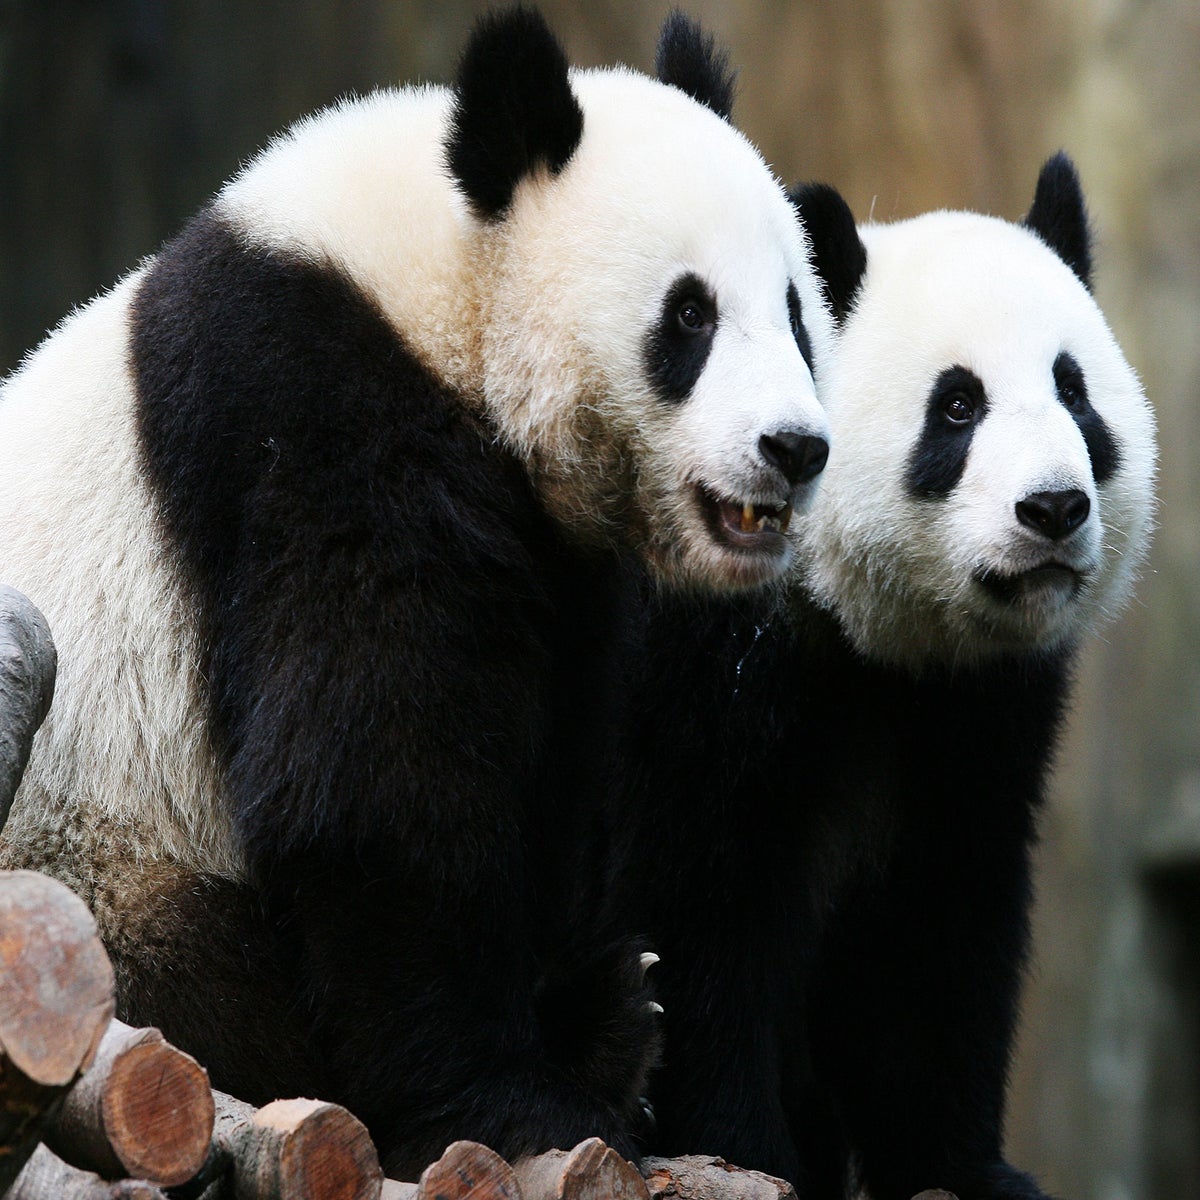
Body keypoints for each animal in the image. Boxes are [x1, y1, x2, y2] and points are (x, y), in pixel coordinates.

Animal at [0, 8, 841, 1175]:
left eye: (799, 314)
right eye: (690, 317)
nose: (794, 449)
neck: (440, 290)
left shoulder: (557, 565)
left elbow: (544, 771)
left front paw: (570, 1017)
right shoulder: (317, 423)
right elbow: (374, 788)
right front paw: (515, 1100)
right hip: (87, 862)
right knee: (198, 985)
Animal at [602, 153, 1156, 1198]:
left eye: (1075, 394)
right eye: (958, 406)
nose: (1054, 509)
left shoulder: (969, 714)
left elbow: (938, 931)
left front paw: (965, 1168)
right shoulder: (696, 665)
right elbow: (698, 903)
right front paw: (745, 1149)